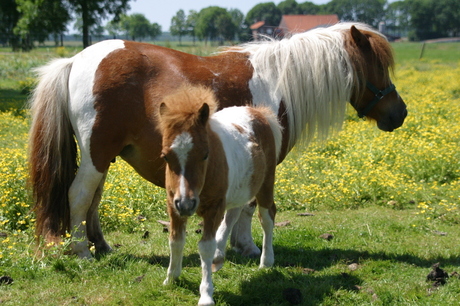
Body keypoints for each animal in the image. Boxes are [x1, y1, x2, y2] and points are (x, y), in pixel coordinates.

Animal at [27, 22, 406, 260]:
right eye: (377, 67)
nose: (399, 113)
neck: (279, 83)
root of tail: (75, 60)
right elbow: (250, 207)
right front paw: (248, 247)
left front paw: (237, 244)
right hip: (96, 154)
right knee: (78, 197)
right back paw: (81, 253)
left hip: (103, 158)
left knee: (93, 201)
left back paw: (101, 247)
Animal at [156, 85, 282, 306]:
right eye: (165, 157)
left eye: (205, 154)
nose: (187, 204)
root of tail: (258, 112)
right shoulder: (173, 206)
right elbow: (175, 241)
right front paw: (171, 278)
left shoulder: (213, 207)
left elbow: (205, 247)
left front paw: (206, 295)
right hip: (239, 188)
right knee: (233, 214)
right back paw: (218, 256)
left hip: (265, 183)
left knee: (267, 217)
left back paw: (266, 261)